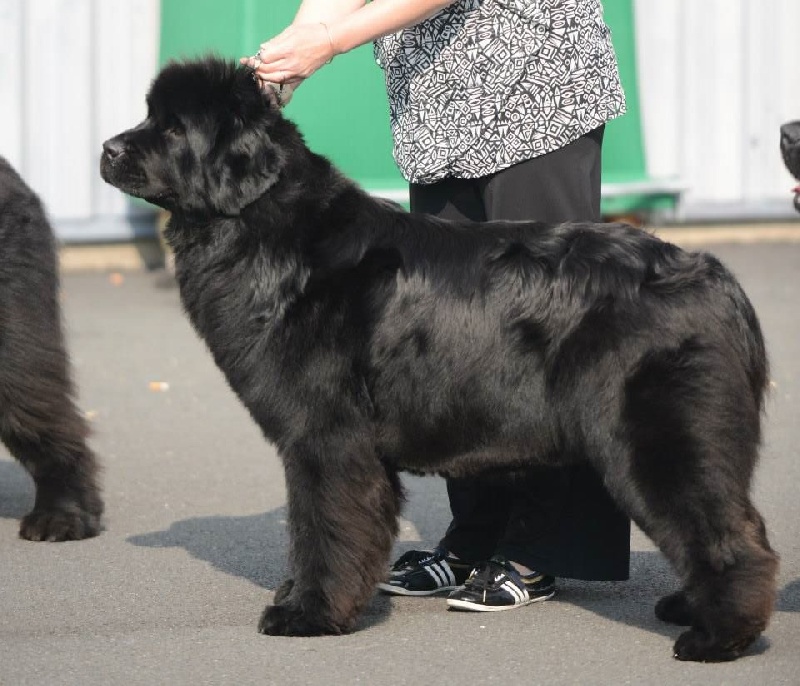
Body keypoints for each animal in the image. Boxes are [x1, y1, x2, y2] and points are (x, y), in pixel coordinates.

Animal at [100, 61, 776, 664]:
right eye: (149, 115)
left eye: (172, 128)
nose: (107, 148)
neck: (268, 233)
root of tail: (712, 275)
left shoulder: (325, 438)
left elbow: (322, 528)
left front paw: (306, 614)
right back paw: (692, 608)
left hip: (656, 437)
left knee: (729, 533)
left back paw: (717, 638)